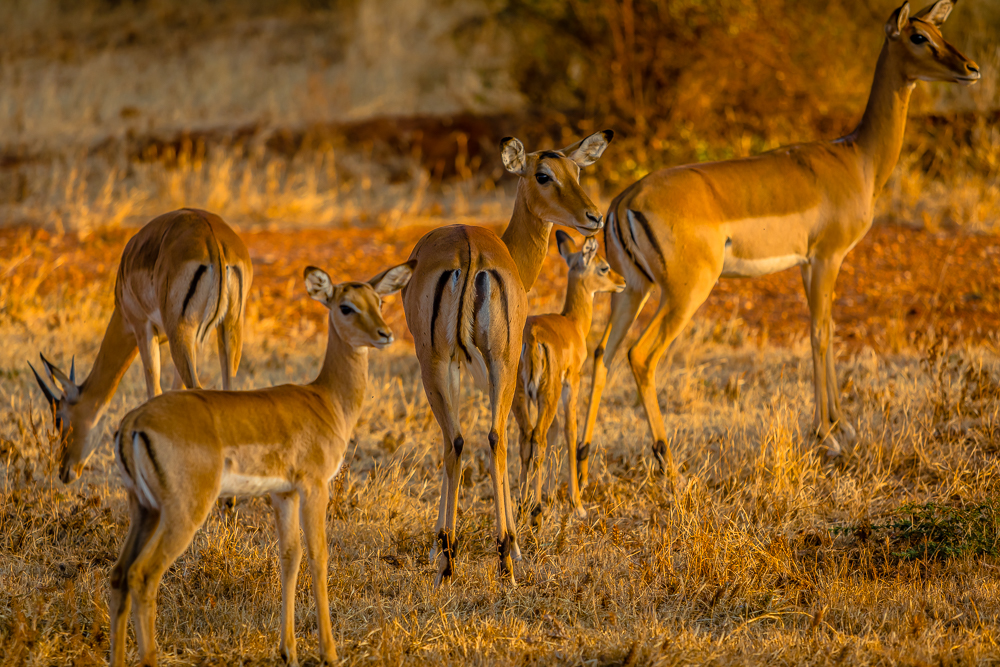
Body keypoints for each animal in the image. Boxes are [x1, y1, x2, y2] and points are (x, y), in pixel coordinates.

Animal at [30, 206, 254, 482]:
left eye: (59, 419)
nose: (64, 471)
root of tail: (212, 238)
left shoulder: (142, 329)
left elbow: (154, 392)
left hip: (182, 332)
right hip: (226, 330)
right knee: (228, 392)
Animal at [105, 260, 410, 667]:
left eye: (379, 301)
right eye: (346, 307)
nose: (385, 334)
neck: (327, 400)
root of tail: (134, 423)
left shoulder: (283, 493)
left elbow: (290, 557)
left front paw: (289, 651)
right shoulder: (315, 486)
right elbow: (319, 556)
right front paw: (329, 652)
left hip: (144, 508)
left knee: (120, 574)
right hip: (184, 512)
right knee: (144, 576)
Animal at [402, 129, 612, 584]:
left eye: (577, 171)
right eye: (543, 174)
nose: (594, 216)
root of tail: (470, 253)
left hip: (449, 364)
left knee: (465, 440)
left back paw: (458, 556)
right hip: (486, 364)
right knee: (489, 439)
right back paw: (499, 552)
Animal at [516, 232, 624, 524]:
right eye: (604, 267)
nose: (621, 281)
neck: (573, 323)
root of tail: (532, 337)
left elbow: (555, 432)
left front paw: (551, 496)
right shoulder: (572, 382)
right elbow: (569, 430)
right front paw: (577, 504)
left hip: (520, 396)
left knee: (527, 438)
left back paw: (522, 505)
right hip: (548, 394)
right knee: (538, 438)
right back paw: (535, 509)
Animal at [580, 0, 976, 482]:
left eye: (939, 32)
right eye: (919, 37)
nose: (971, 69)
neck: (857, 159)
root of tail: (624, 201)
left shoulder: (808, 264)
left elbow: (826, 330)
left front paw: (842, 427)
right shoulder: (826, 258)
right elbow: (820, 333)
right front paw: (829, 434)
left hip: (631, 289)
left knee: (602, 353)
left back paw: (581, 465)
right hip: (685, 293)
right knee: (641, 355)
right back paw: (669, 464)